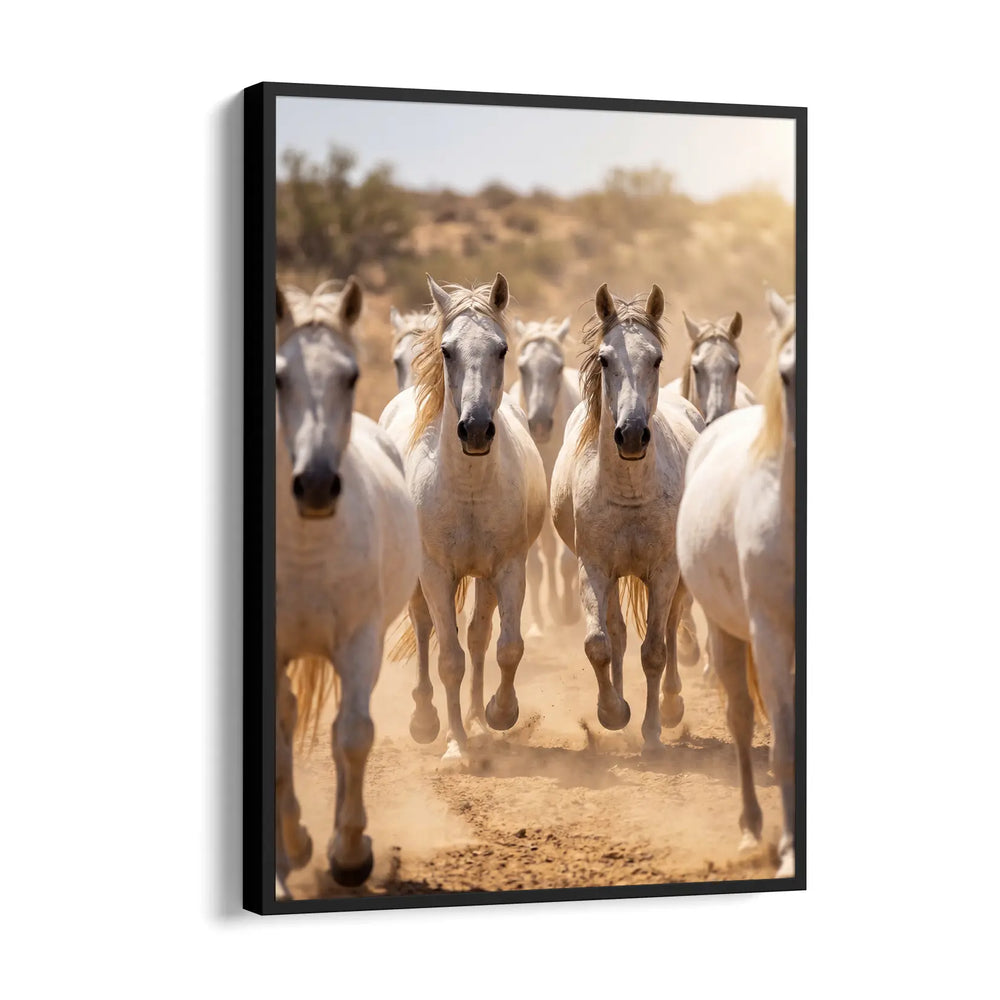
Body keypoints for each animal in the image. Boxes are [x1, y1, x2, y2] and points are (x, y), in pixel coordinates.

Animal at [380, 274, 547, 759]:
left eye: (502, 349)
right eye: (447, 350)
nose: (474, 430)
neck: (468, 487)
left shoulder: (508, 567)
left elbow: (507, 647)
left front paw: (499, 713)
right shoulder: (435, 572)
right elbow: (448, 659)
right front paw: (455, 745)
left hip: (484, 578)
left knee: (478, 635)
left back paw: (474, 716)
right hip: (421, 578)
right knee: (423, 630)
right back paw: (426, 719)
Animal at [550, 284, 701, 752]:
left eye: (656, 358)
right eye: (604, 359)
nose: (631, 435)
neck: (630, 491)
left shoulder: (665, 570)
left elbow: (654, 650)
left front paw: (652, 730)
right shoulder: (595, 567)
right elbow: (599, 643)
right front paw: (613, 712)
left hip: (676, 578)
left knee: (671, 628)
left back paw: (672, 706)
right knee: (616, 632)